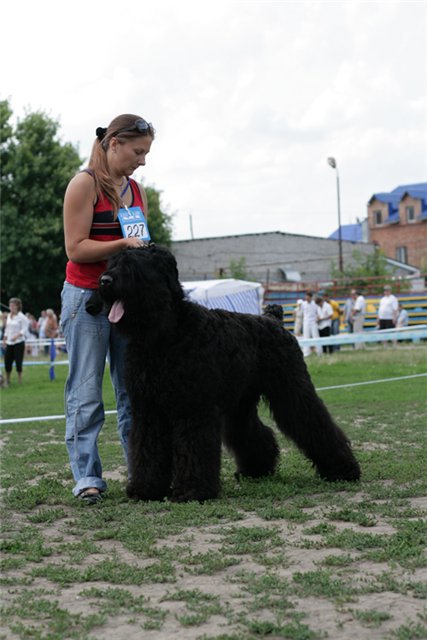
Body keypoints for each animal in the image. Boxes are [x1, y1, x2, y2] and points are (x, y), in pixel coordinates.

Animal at [98, 245, 362, 500]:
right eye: (113, 263)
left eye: (133, 266)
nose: (104, 280)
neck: (165, 334)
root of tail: (274, 319)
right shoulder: (148, 410)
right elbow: (148, 450)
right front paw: (146, 489)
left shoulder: (193, 409)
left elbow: (193, 449)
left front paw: (193, 491)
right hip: (240, 404)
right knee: (252, 431)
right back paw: (257, 469)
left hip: (291, 389)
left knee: (314, 422)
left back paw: (344, 469)